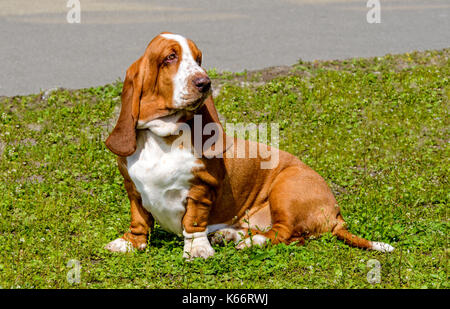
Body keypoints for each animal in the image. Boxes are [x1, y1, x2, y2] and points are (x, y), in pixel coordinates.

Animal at [103, 32, 394, 258]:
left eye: (198, 59)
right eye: (170, 58)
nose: (205, 83)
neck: (161, 136)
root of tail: (336, 214)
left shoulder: (201, 189)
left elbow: (193, 221)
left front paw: (197, 250)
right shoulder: (133, 190)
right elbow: (139, 219)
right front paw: (129, 243)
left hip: (286, 188)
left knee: (285, 233)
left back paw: (250, 241)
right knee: (293, 236)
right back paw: (229, 235)